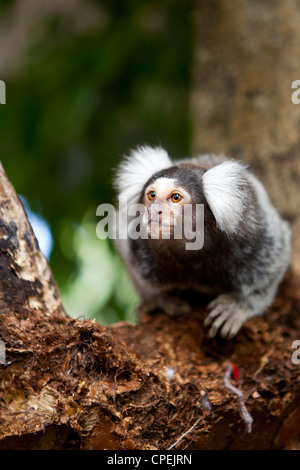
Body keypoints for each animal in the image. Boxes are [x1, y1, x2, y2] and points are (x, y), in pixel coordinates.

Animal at [114, 147, 290, 338]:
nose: (153, 211)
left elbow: (271, 265)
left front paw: (236, 307)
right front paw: (163, 299)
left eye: (175, 197)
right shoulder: (137, 250)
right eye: (152, 195)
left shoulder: (253, 234)